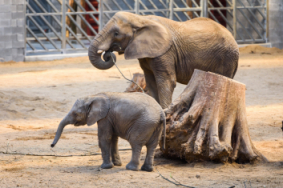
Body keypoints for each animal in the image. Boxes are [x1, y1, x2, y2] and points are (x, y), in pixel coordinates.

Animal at [89, 12, 240, 108]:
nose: (108, 54)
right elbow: (151, 82)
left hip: (227, 58)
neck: (140, 18)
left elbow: (166, 81)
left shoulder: (165, 52)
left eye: (116, 33)